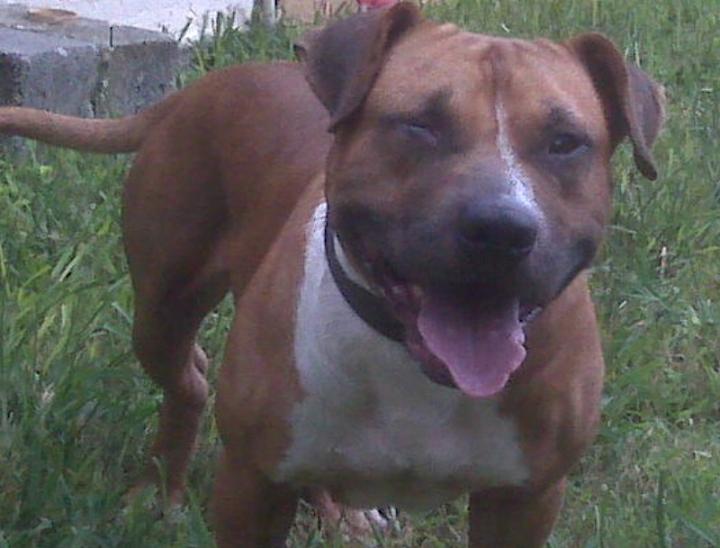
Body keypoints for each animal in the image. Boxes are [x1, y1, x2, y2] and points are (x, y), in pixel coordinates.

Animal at [0, 3, 664, 545]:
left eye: (565, 142)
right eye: (421, 124)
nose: (501, 228)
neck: (411, 363)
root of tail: (205, 86)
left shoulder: (525, 500)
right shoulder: (252, 486)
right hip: (163, 308)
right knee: (187, 378)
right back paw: (157, 493)